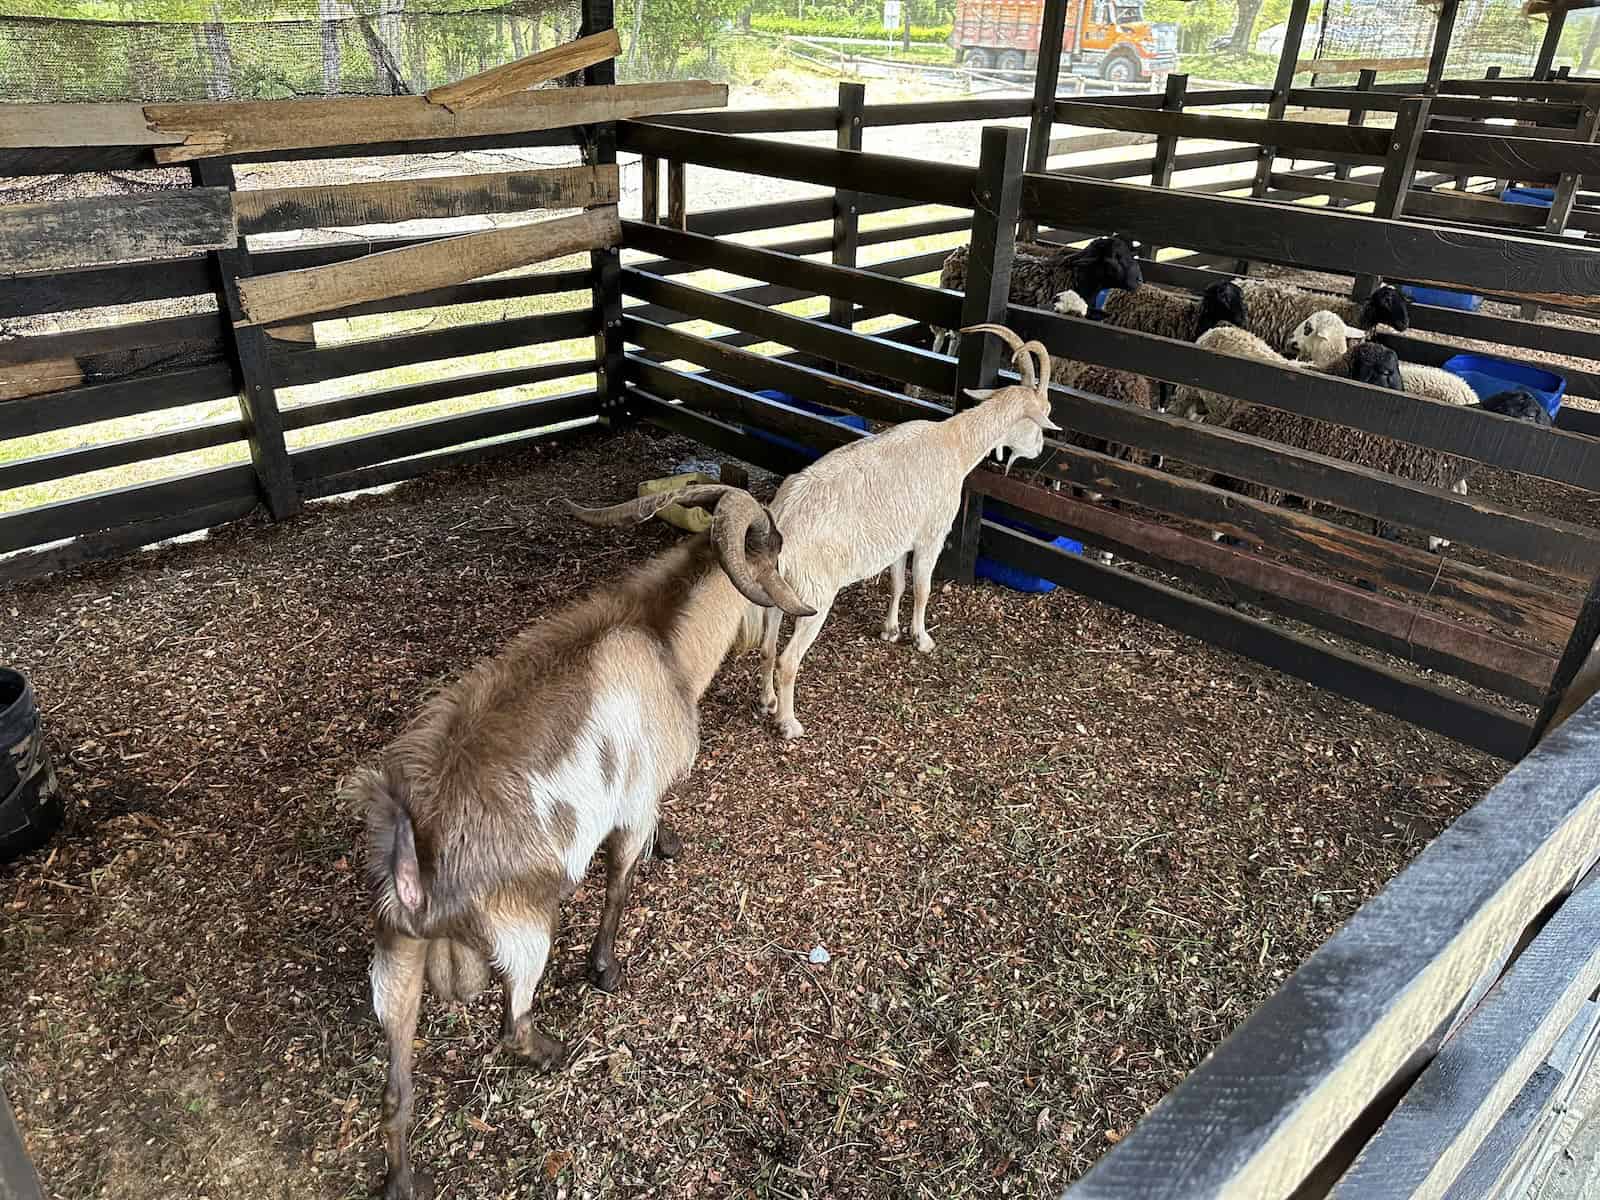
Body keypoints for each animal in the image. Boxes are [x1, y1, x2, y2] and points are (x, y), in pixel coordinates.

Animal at [347, 483, 812, 1196]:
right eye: (776, 546)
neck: (660, 637)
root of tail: (414, 860)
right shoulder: (632, 805)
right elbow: (619, 883)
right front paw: (605, 969)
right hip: (523, 933)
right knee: (512, 1024)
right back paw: (552, 1052)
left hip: (396, 962)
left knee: (395, 1091)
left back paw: (404, 1180)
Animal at [752, 321, 1062, 742]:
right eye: (1044, 412)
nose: (1039, 451)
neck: (954, 443)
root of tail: (781, 521)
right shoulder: (931, 531)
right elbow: (923, 586)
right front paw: (922, 638)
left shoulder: (900, 537)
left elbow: (898, 581)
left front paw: (890, 630)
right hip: (815, 594)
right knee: (787, 659)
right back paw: (788, 723)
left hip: (777, 594)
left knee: (767, 648)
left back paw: (766, 702)